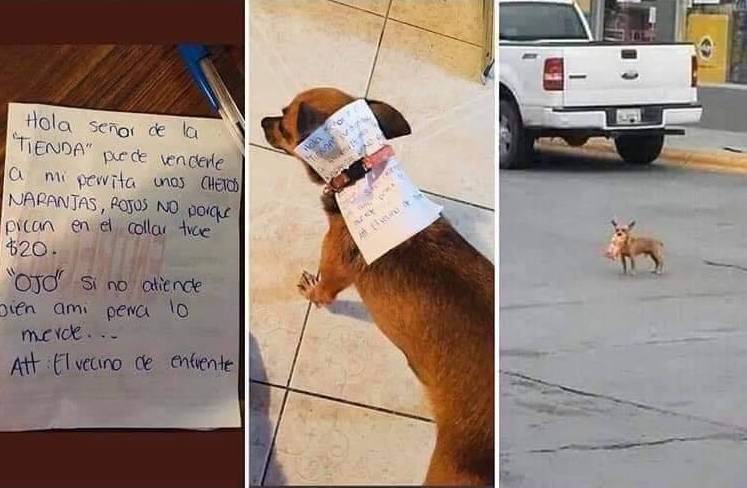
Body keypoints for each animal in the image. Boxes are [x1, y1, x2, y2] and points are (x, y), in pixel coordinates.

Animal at [262, 86, 496, 484]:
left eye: (284, 122)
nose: (262, 121)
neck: (360, 173)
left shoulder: (334, 268)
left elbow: (324, 290)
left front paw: (312, 291)